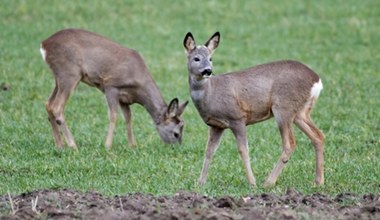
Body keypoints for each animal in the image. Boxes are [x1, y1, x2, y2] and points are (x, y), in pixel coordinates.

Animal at [39, 28, 188, 150]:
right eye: (176, 133)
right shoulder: (111, 85)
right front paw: (108, 146)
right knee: (57, 107)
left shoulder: (124, 98)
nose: (177, 148)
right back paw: (73, 145)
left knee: (48, 104)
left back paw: (60, 145)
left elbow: (128, 117)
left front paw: (132, 145)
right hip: (69, 73)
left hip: (59, 78)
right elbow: (113, 115)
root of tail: (44, 45)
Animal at [183, 31, 324, 186]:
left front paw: (252, 182)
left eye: (210, 58)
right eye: (196, 58)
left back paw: (268, 182)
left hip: (283, 107)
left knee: (290, 144)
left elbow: (243, 150)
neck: (211, 94)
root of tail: (317, 81)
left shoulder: (237, 117)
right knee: (318, 136)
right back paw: (318, 181)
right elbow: (209, 151)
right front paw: (200, 182)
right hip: (301, 112)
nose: (208, 70)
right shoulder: (216, 125)